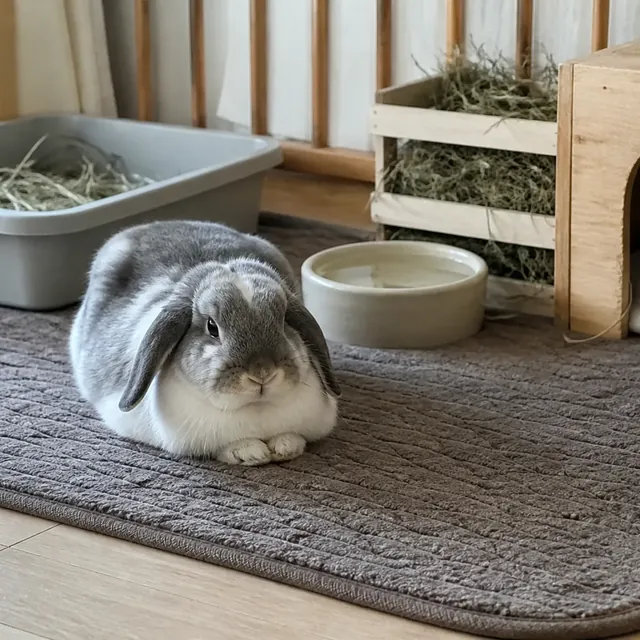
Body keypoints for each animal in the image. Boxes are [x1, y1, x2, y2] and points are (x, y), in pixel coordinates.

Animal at [69, 219, 341, 466]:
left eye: (284, 319)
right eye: (212, 327)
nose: (262, 373)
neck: (255, 409)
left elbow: (292, 437)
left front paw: (285, 447)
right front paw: (251, 453)